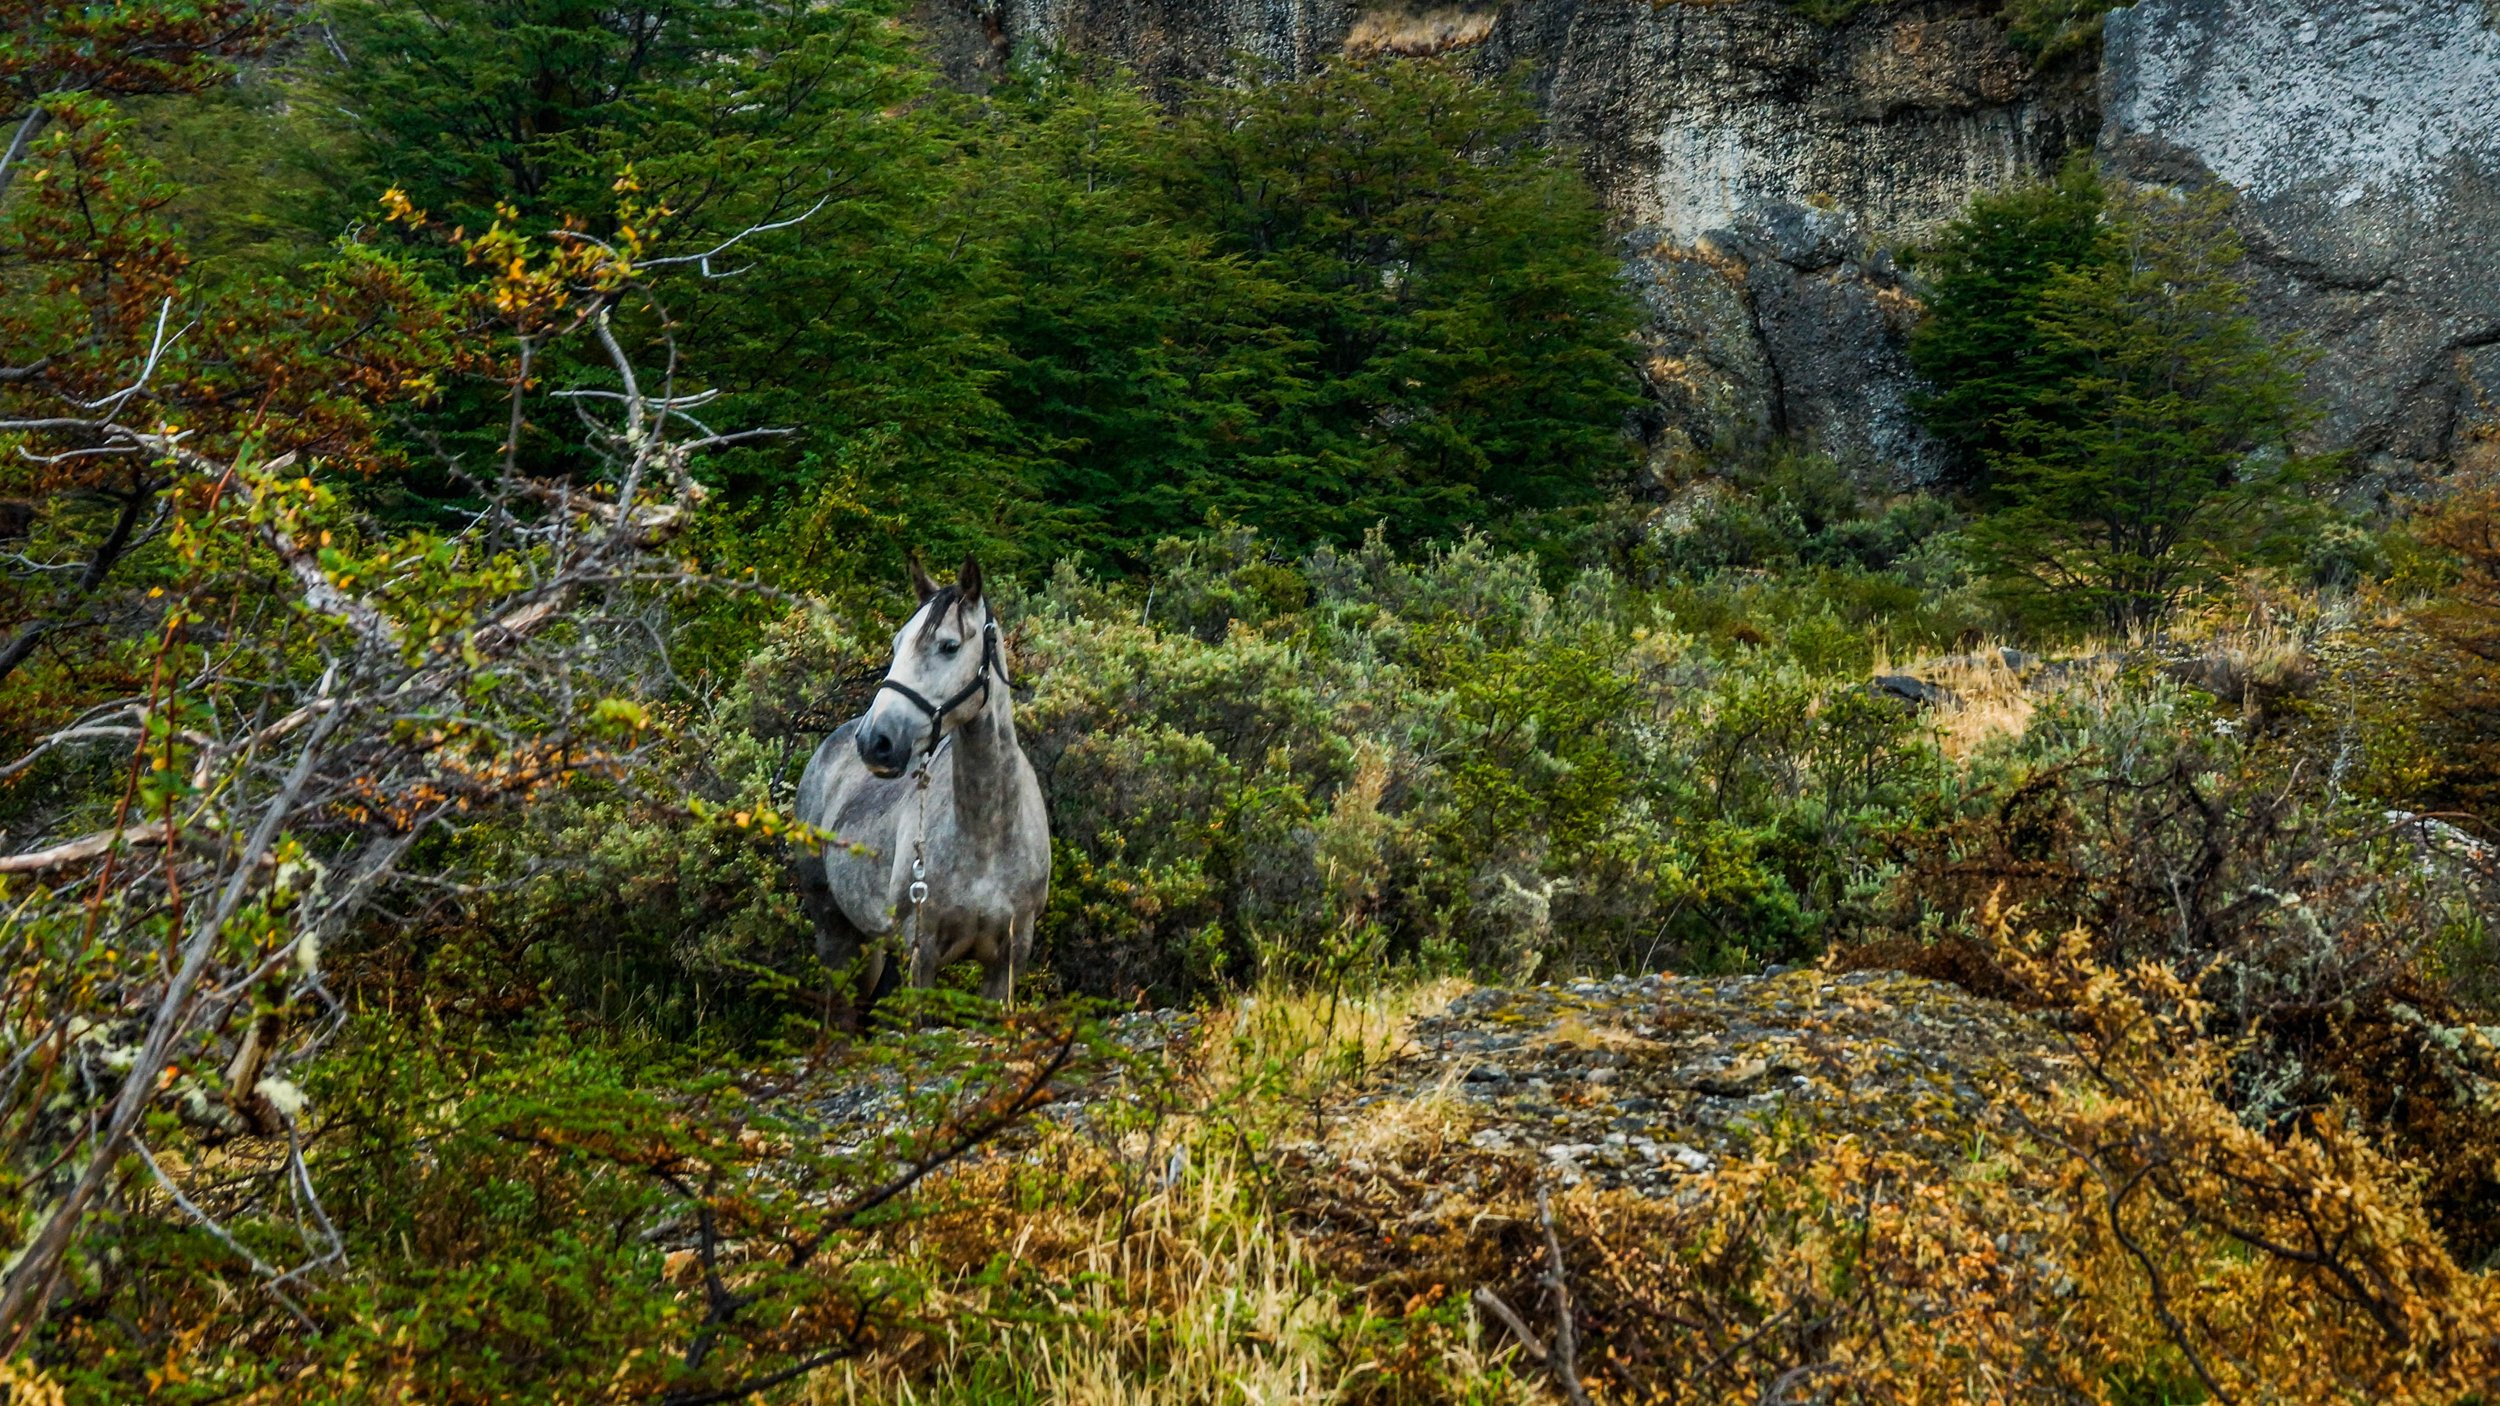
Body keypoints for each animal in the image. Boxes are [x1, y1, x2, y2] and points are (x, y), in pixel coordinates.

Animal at [790, 554, 1050, 1020]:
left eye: (948, 646)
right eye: (896, 644)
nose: (875, 741)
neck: (989, 833)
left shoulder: (1009, 960)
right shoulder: (922, 951)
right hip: (834, 930)